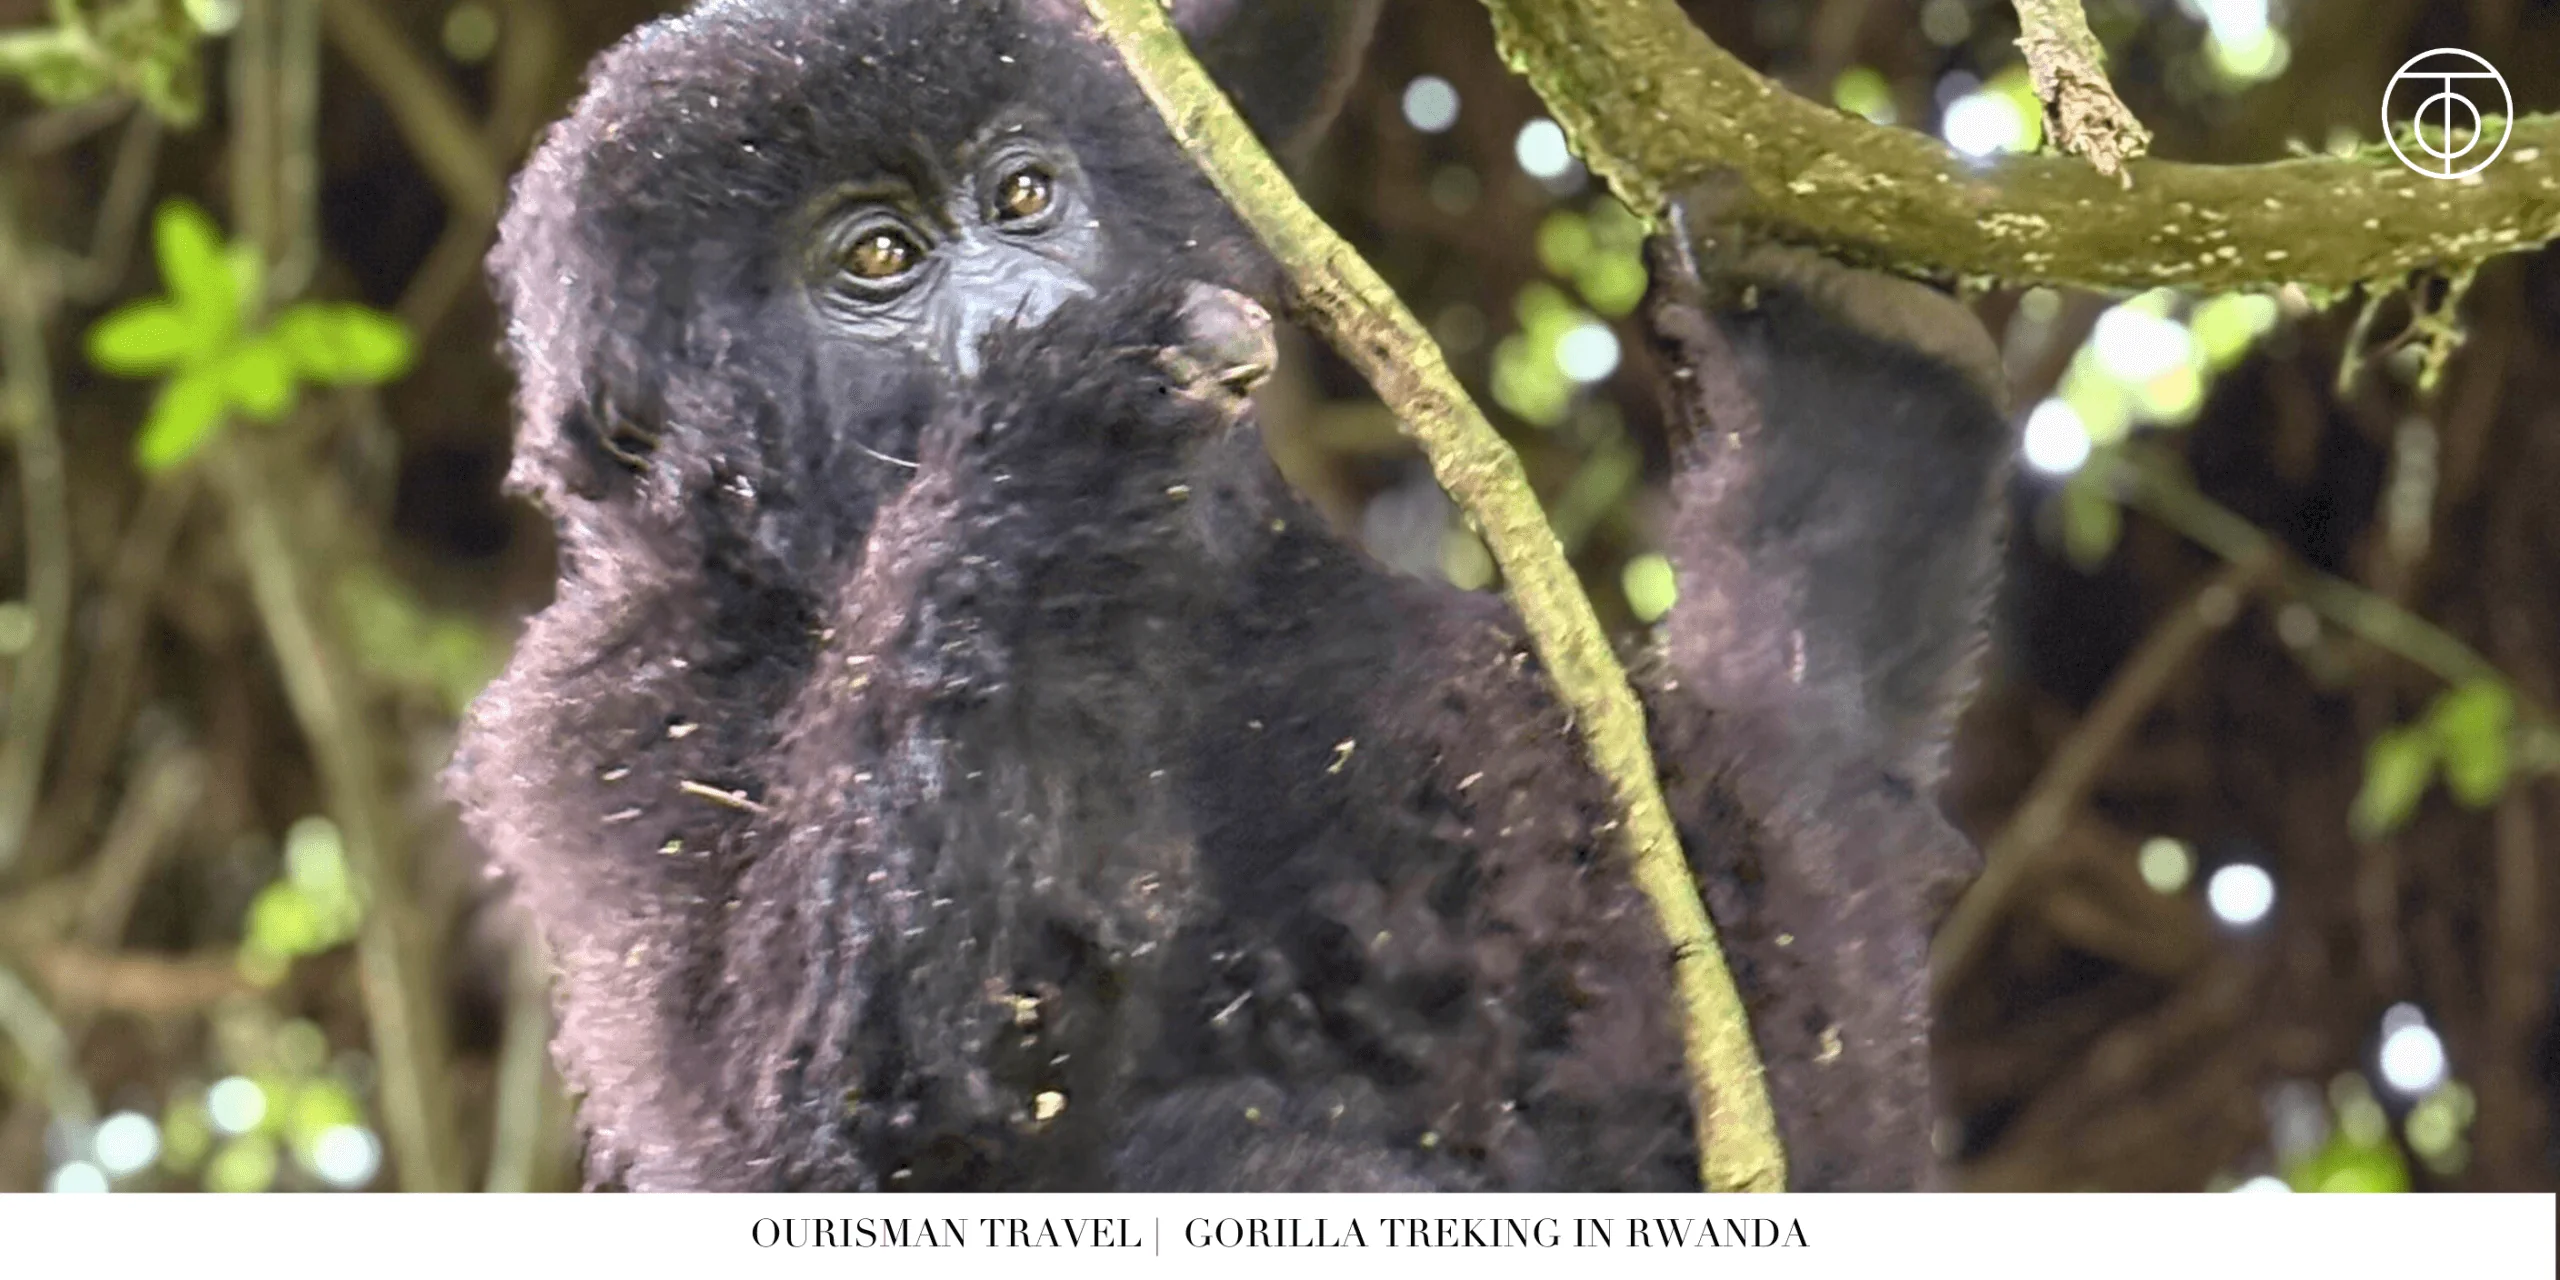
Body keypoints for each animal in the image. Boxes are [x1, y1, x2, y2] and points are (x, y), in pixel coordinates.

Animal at [449, 0, 2010, 1191]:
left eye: (1025, 195)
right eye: (879, 259)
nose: (1026, 314)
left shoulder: (1172, 149)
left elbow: (1231, 69)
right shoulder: (594, 718)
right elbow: (838, 1128)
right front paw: (1064, 422)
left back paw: (1875, 418)